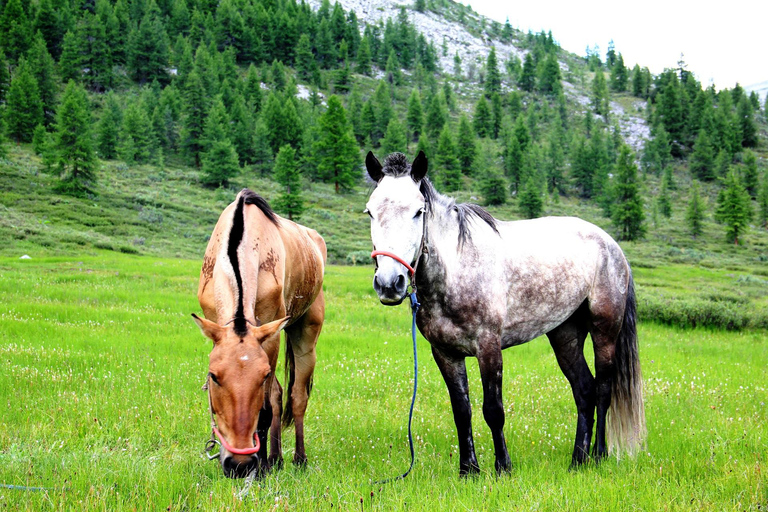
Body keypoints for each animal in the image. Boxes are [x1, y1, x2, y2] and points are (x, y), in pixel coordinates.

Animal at [194, 189, 326, 480]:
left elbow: (266, 408)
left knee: (296, 398)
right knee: (279, 394)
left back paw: (297, 459)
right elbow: (272, 399)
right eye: (213, 376)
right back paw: (276, 458)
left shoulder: (271, 337)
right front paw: (265, 462)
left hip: (305, 337)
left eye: (261, 375)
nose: (239, 465)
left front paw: (261, 468)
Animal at [366, 152, 648, 476]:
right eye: (370, 212)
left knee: (602, 389)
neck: (457, 269)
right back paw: (578, 460)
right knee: (584, 390)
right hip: (565, 334)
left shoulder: (489, 347)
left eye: (418, 212)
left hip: (605, 331)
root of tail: (612, 245)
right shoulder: (446, 353)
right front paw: (468, 470)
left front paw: (503, 468)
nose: (389, 283)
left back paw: (599, 455)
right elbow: (461, 411)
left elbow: (493, 410)